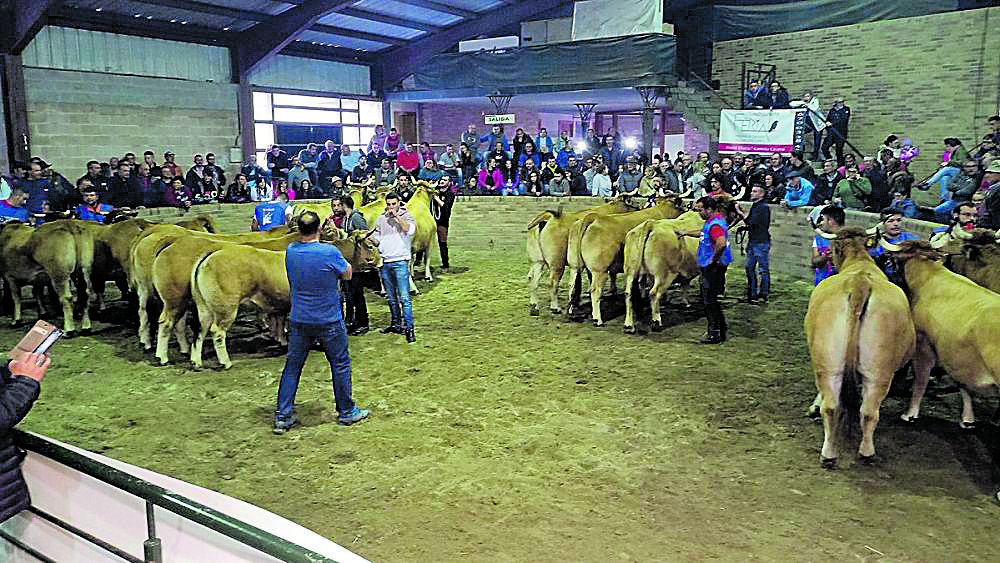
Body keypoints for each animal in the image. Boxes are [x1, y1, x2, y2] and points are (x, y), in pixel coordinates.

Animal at [189, 232, 380, 370]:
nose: (381, 261)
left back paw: (196, 362)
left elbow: (281, 321)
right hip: (226, 308)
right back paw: (226, 362)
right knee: (217, 332)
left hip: (204, 308)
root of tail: (210, 256)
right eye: (370, 246)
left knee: (200, 330)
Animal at [568, 195, 692, 324]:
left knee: (572, 285)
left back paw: (572, 311)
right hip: (600, 271)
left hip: (575, 266)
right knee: (595, 290)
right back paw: (598, 319)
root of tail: (592, 218)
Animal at [804, 227, 916, 470]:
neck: (859, 262)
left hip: (829, 363)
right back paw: (865, 453)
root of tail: (859, 285)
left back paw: (831, 454)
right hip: (877, 372)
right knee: (868, 412)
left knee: (834, 406)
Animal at [880, 236, 1000, 430]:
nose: (884, 257)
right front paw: (967, 419)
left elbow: (921, 380)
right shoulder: (957, 355)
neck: (928, 278)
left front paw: (910, 414)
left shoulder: (923, 346)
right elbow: (962, 384)